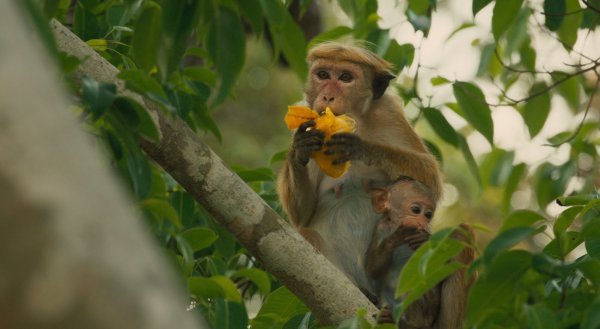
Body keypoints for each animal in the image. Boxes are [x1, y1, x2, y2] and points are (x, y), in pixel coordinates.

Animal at [276, 41, 440, 292]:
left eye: (345, 77)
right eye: (323, 75)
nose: (327, 96)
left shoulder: (389, 114)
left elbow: (431, 180)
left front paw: (361, 147)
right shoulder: (306, 116)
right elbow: (302, 215)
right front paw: (300, 148)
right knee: (308, 232)